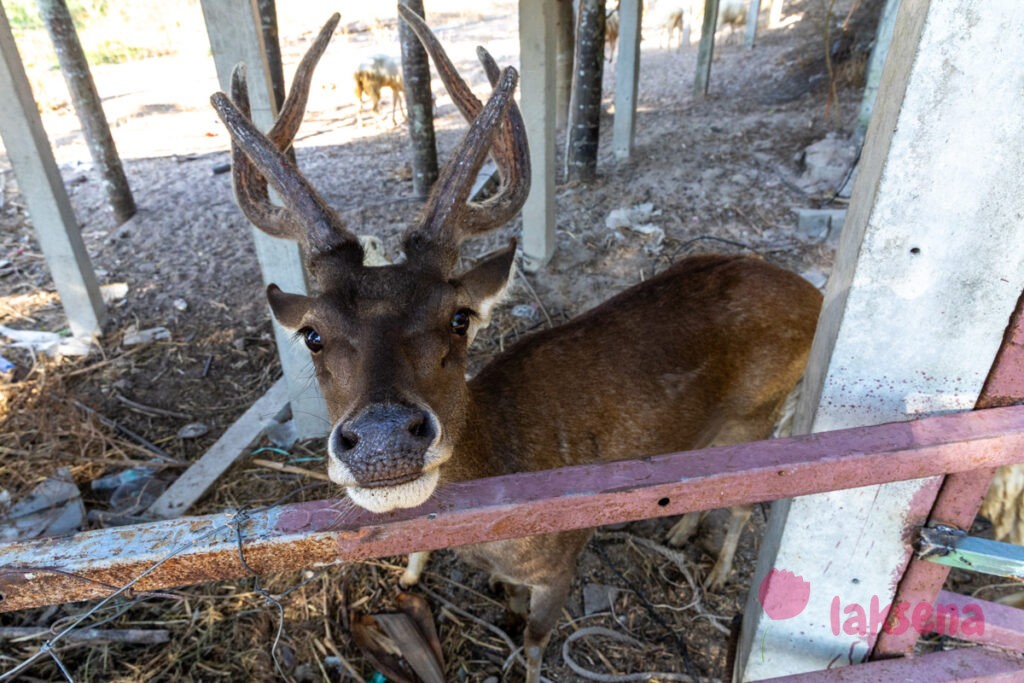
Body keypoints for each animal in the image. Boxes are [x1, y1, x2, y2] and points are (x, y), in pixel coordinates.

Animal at [209, 7, 823, 679]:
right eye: (312, 334)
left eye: (459, 318)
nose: (382, 439)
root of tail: (812, 293)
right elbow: (497, 602)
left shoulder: (562, 560)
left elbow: (533, 639)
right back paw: (681, 532)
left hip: (761, 410)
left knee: (745, 501)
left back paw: (714, 573)